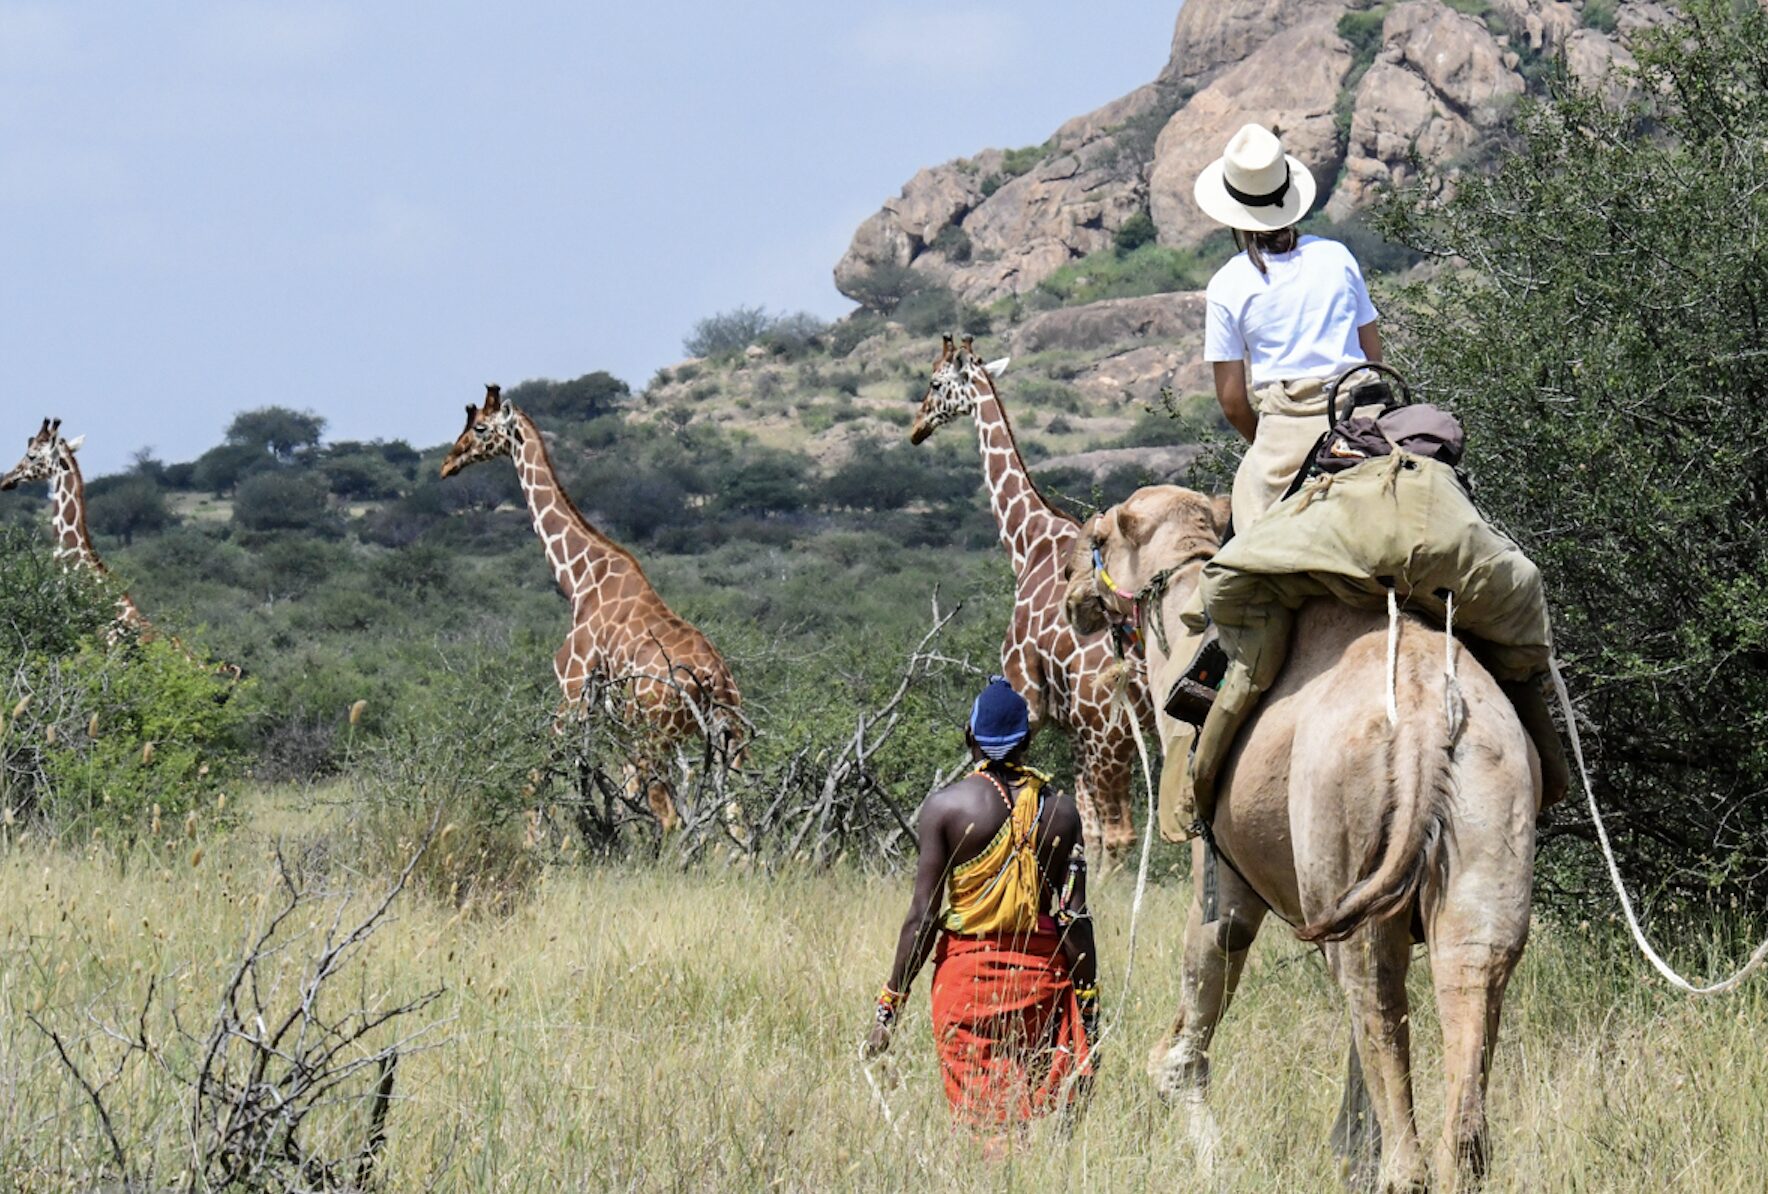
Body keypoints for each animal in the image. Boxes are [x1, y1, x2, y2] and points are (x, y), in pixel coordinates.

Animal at [445, 387, 749, 827]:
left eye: (481, 428)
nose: (448, 462)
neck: (579, 582)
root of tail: (715, 681)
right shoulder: (608, 715)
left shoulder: (572, 689)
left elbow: (538, 778)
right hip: (729, 737)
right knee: (736, 811)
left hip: (657, 733)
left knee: (670, 812)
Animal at [905, 336, 1152, 859]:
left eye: (935, 382)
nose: (916, 427)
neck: (1026, 542)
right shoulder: (1072, 727)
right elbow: (1082, 828)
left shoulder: (1029, 700)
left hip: (1110, 736)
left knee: (1124, 833)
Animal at [1060, 484, 1534, 1188]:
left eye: (1097, 535)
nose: (1069, 588)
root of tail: (1426, 720)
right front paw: (1346, 1152)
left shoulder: (1220, 870)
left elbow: (1192, 1018)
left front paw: (1211, 1156)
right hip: (1486, 815)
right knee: (1468, 978)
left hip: (1341, 835)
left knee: (1371, 987)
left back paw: (1395, 1170)